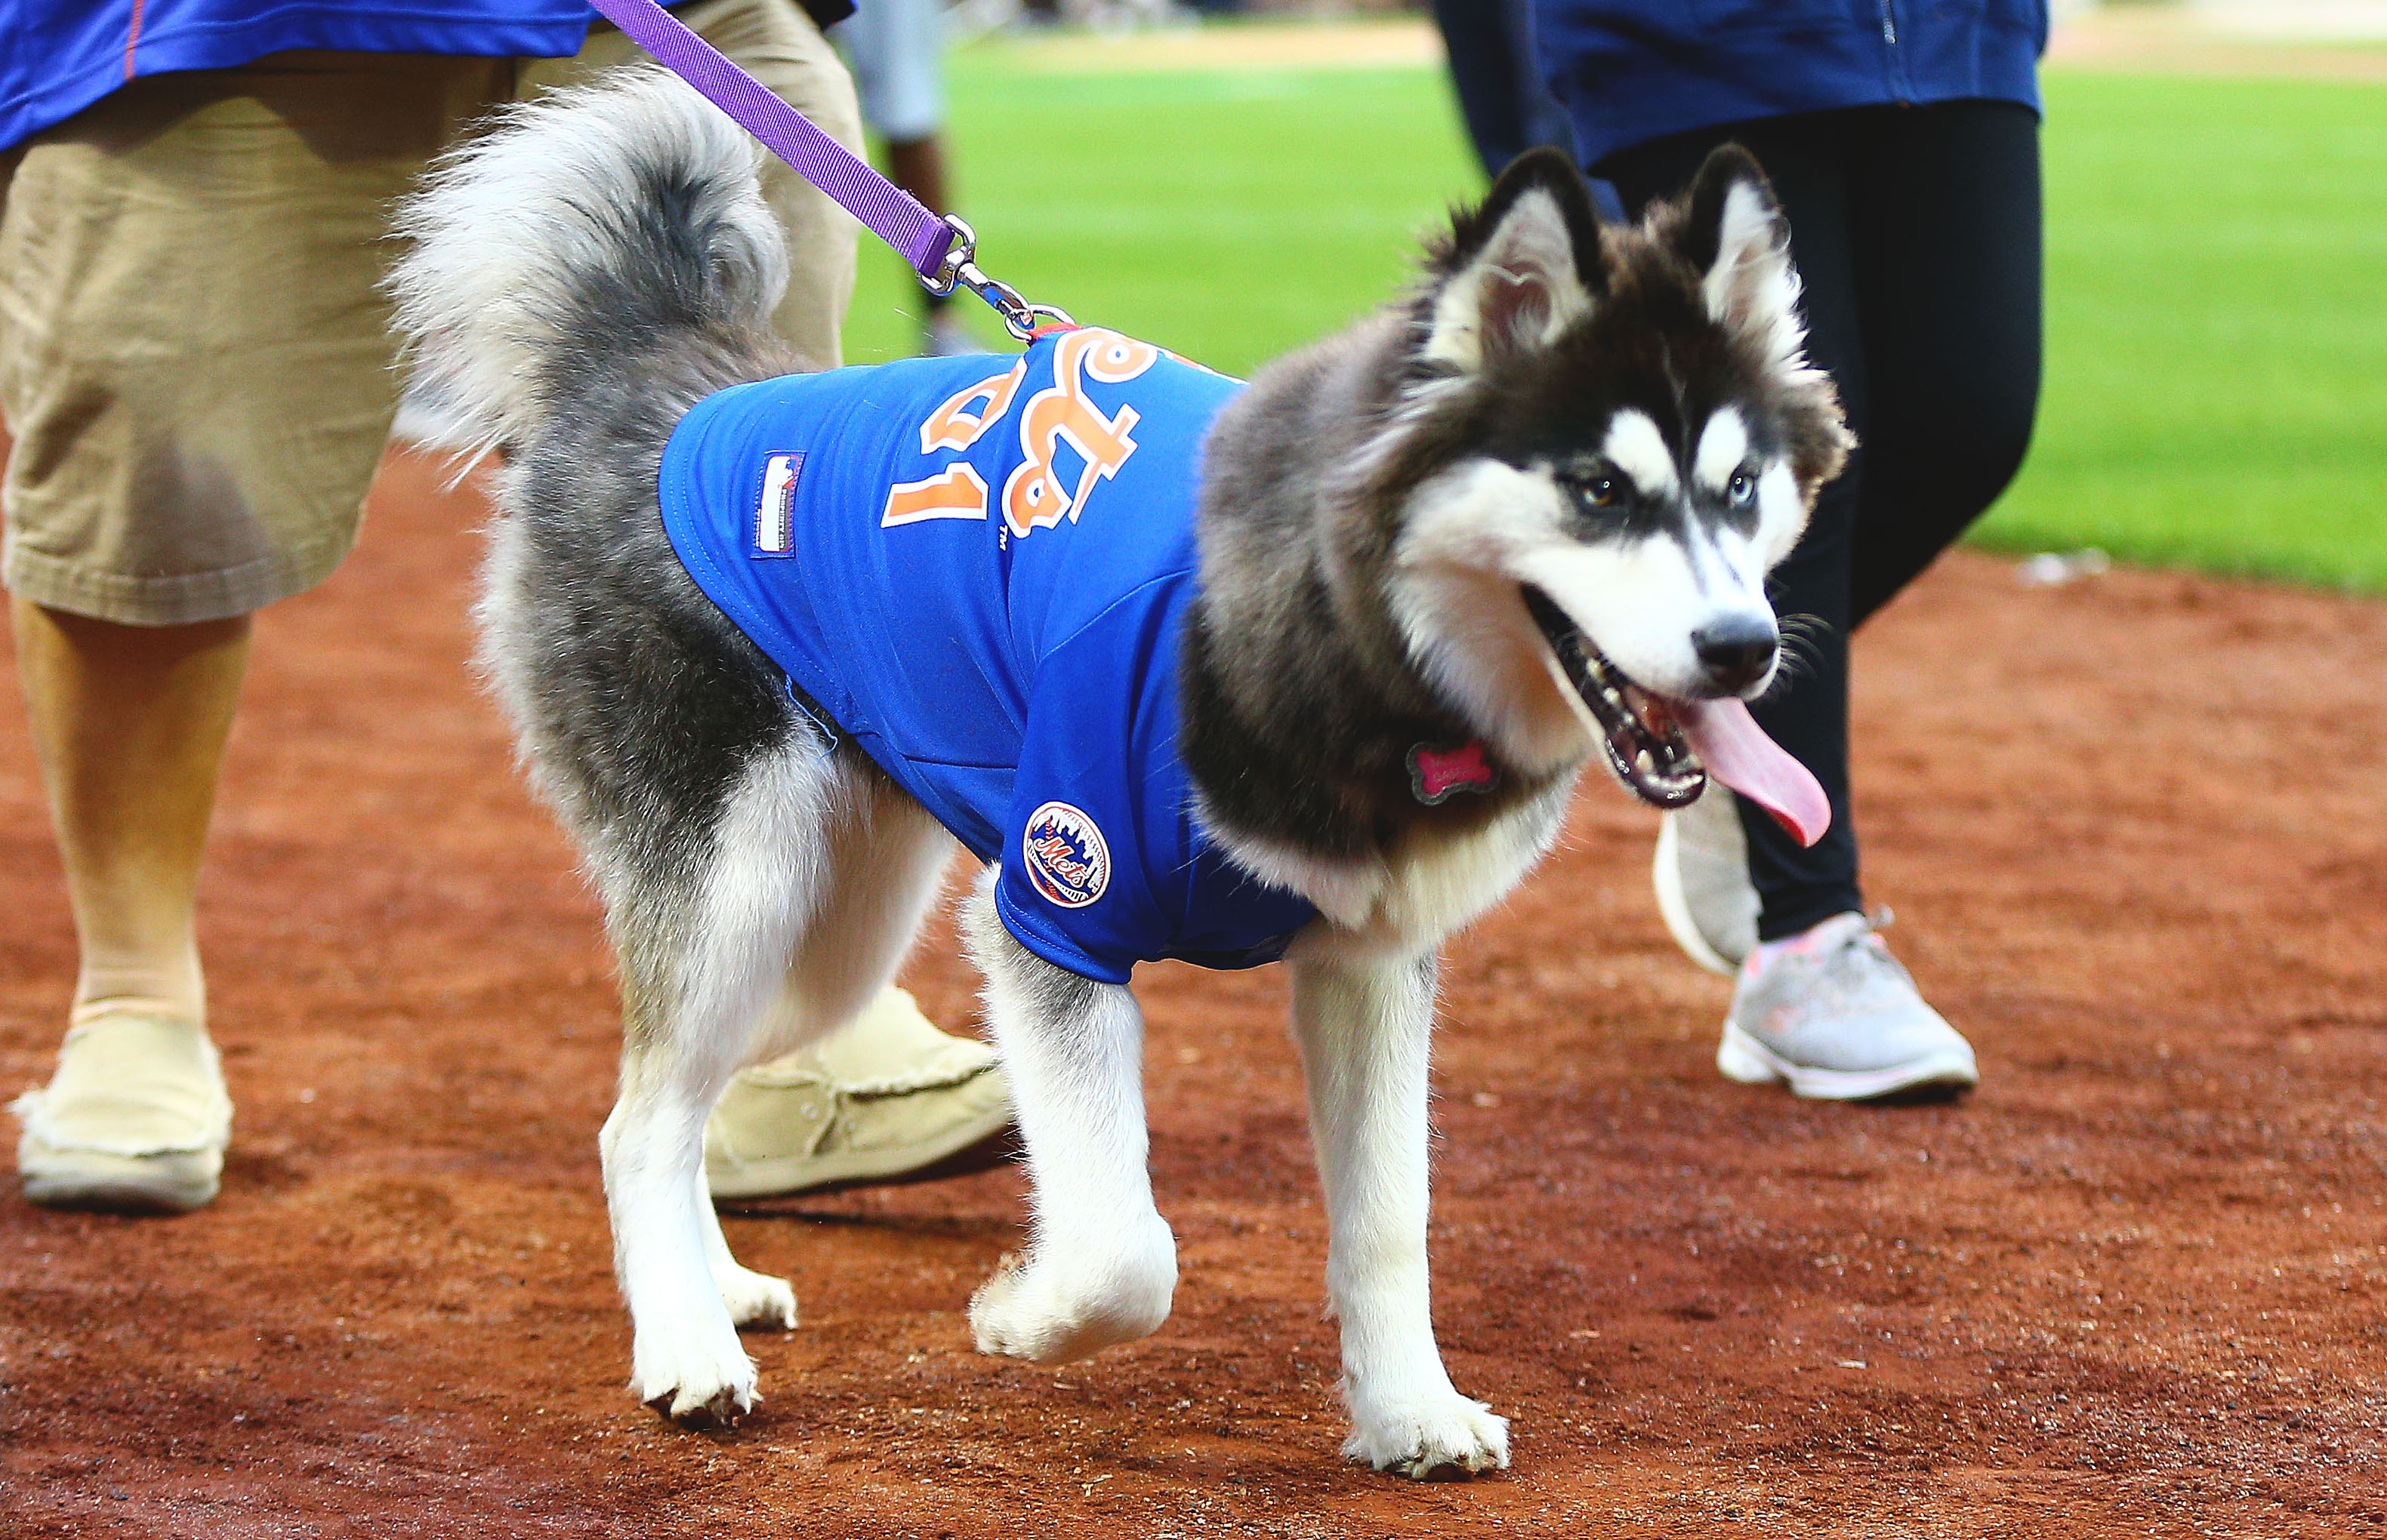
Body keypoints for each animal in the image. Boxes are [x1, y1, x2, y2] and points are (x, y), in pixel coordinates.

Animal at [387, 69, 1843, 1480]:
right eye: (1596, 489)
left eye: (1741, 487)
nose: (1744, 650)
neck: (1345, 634)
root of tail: (655, 355)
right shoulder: (1050, 910)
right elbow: (1122, 1251)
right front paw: (1018, 1315)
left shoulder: (1372, 959)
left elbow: (1391, 1219)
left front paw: (1407, 1415)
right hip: (745, 877)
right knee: (637, 1119)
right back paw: (688, 1344)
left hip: (835, 931)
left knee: (678, 1096)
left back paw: (717, 1285)